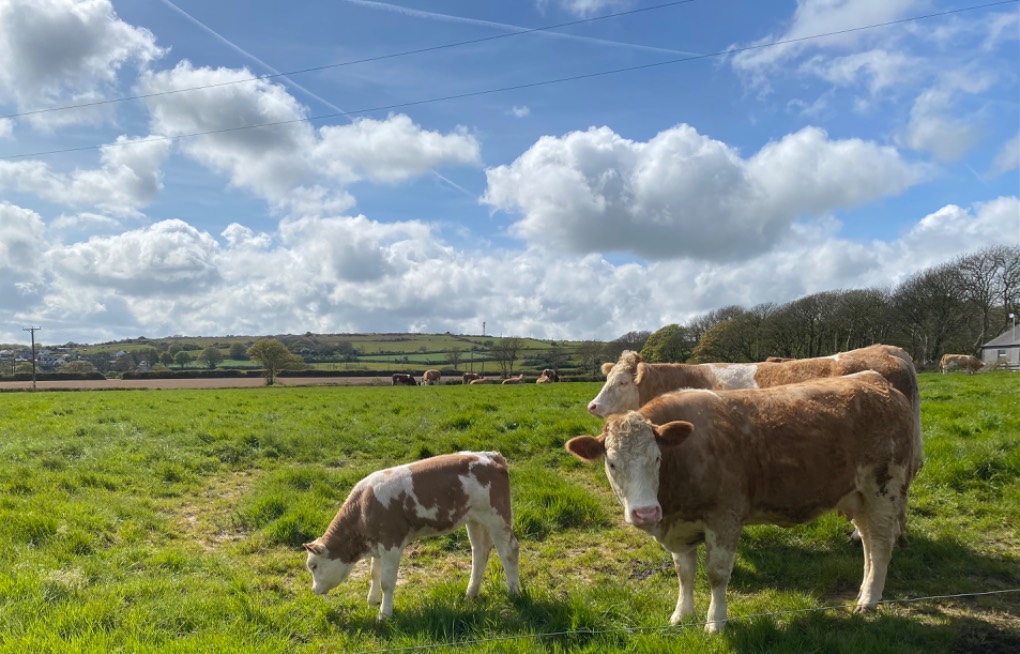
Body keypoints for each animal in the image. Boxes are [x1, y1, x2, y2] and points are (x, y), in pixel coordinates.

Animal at [303, 452, 521, 620]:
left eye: (313, 566)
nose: (314, 590)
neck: (363, 507)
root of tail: (491, 456)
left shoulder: (391, 542)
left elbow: (387, 581)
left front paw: (384, 614)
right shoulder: (377, 544)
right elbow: (374, 574)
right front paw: (372, 601)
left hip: (497, 517)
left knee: (508, 551)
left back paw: (514, 592)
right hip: (475, 520)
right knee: (480, 552)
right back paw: (471, 593)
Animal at [566, 371, 917, 633]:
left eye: (657, 458)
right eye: (612, 464)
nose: (645, 512)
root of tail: (877, 382)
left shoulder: (724, 518)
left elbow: (717, 574)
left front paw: (715, 622)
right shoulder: (680, 527)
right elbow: (684, 573)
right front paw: (681, 615)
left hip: (884, 488)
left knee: (881, 545)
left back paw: (869, 600)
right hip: (858, 497)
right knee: (869, 543)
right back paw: (865, 590)